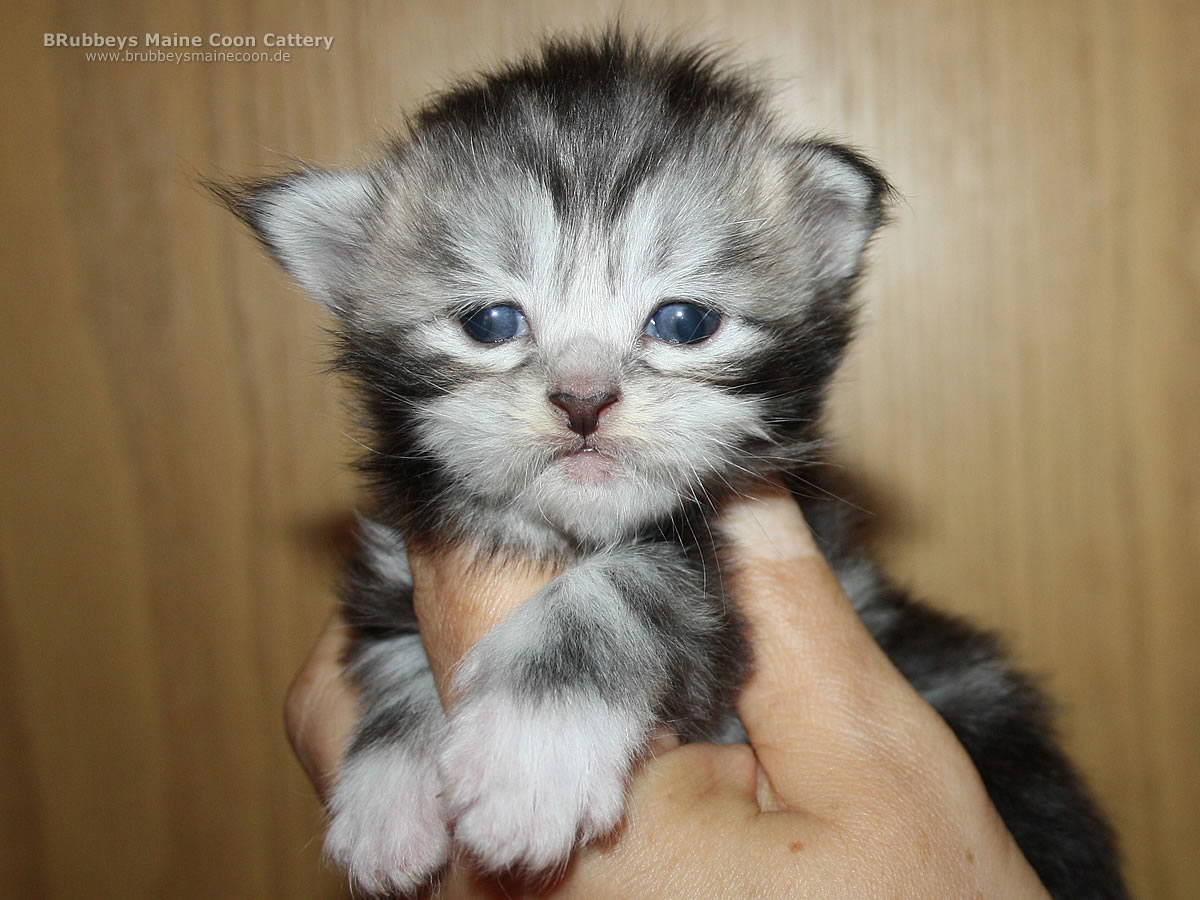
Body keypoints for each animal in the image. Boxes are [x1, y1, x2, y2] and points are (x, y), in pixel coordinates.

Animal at [220, 31, 1128, 897]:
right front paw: (388, 794)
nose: (583, 400)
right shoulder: (397, 557)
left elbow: (626, 591)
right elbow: (392, 647)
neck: (564, 536)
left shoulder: (723, 602)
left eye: (685, 322)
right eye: (490, 322)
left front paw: (527, 755)